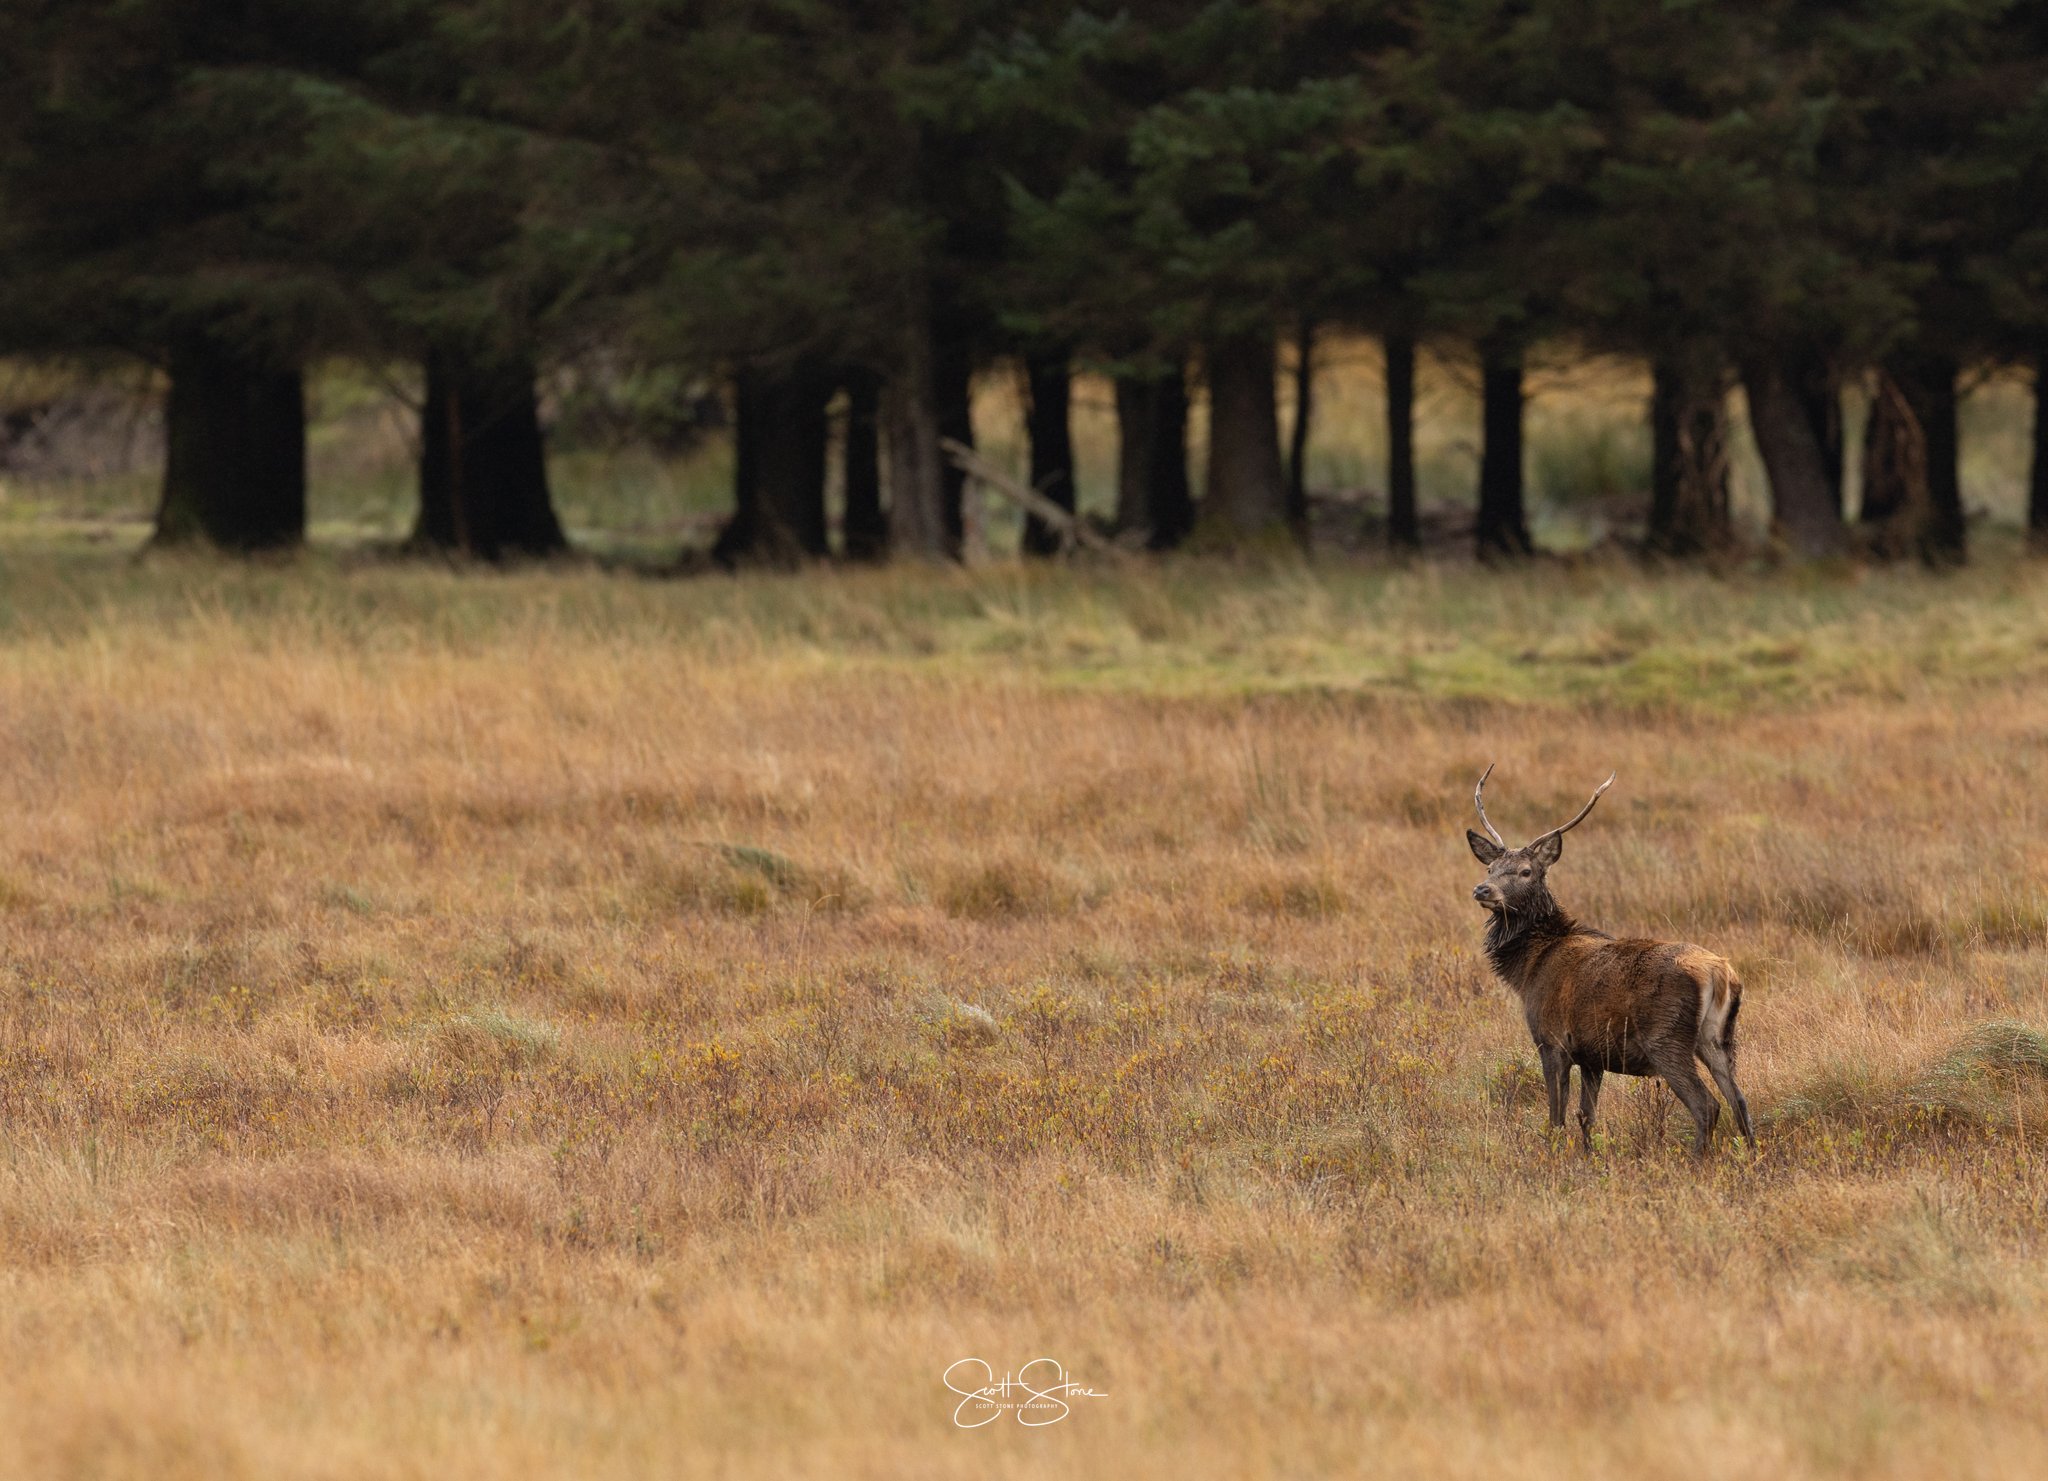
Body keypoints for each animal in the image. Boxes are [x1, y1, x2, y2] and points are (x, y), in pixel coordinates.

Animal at [1466, 766, 1754, 1156]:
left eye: (1526, 871)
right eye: (1491, 868)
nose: (1483, 890)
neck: (1528, 970)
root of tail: (1719, 972)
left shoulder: (1551, 1041)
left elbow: (1556, 1118)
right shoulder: (1592, 1054)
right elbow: (1586, 1116)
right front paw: (1589, 1156)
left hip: (1666, 1039)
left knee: (1707, 1104)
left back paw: (1697, 1160)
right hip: (1719, 1037)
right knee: (1739, 1100)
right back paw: (1753, 1158)